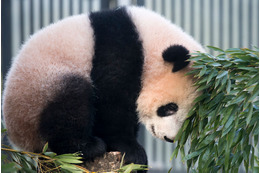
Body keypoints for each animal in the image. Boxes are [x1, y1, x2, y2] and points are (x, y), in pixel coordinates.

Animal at [3, 6, 204, 167]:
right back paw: (88, 147)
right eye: (170, 108)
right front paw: (133, 151)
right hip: (39, 90)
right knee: (70, 102)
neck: (147, 44)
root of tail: (18, 138)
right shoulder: (116, 53)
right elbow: (111, 107)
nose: (169, 138)